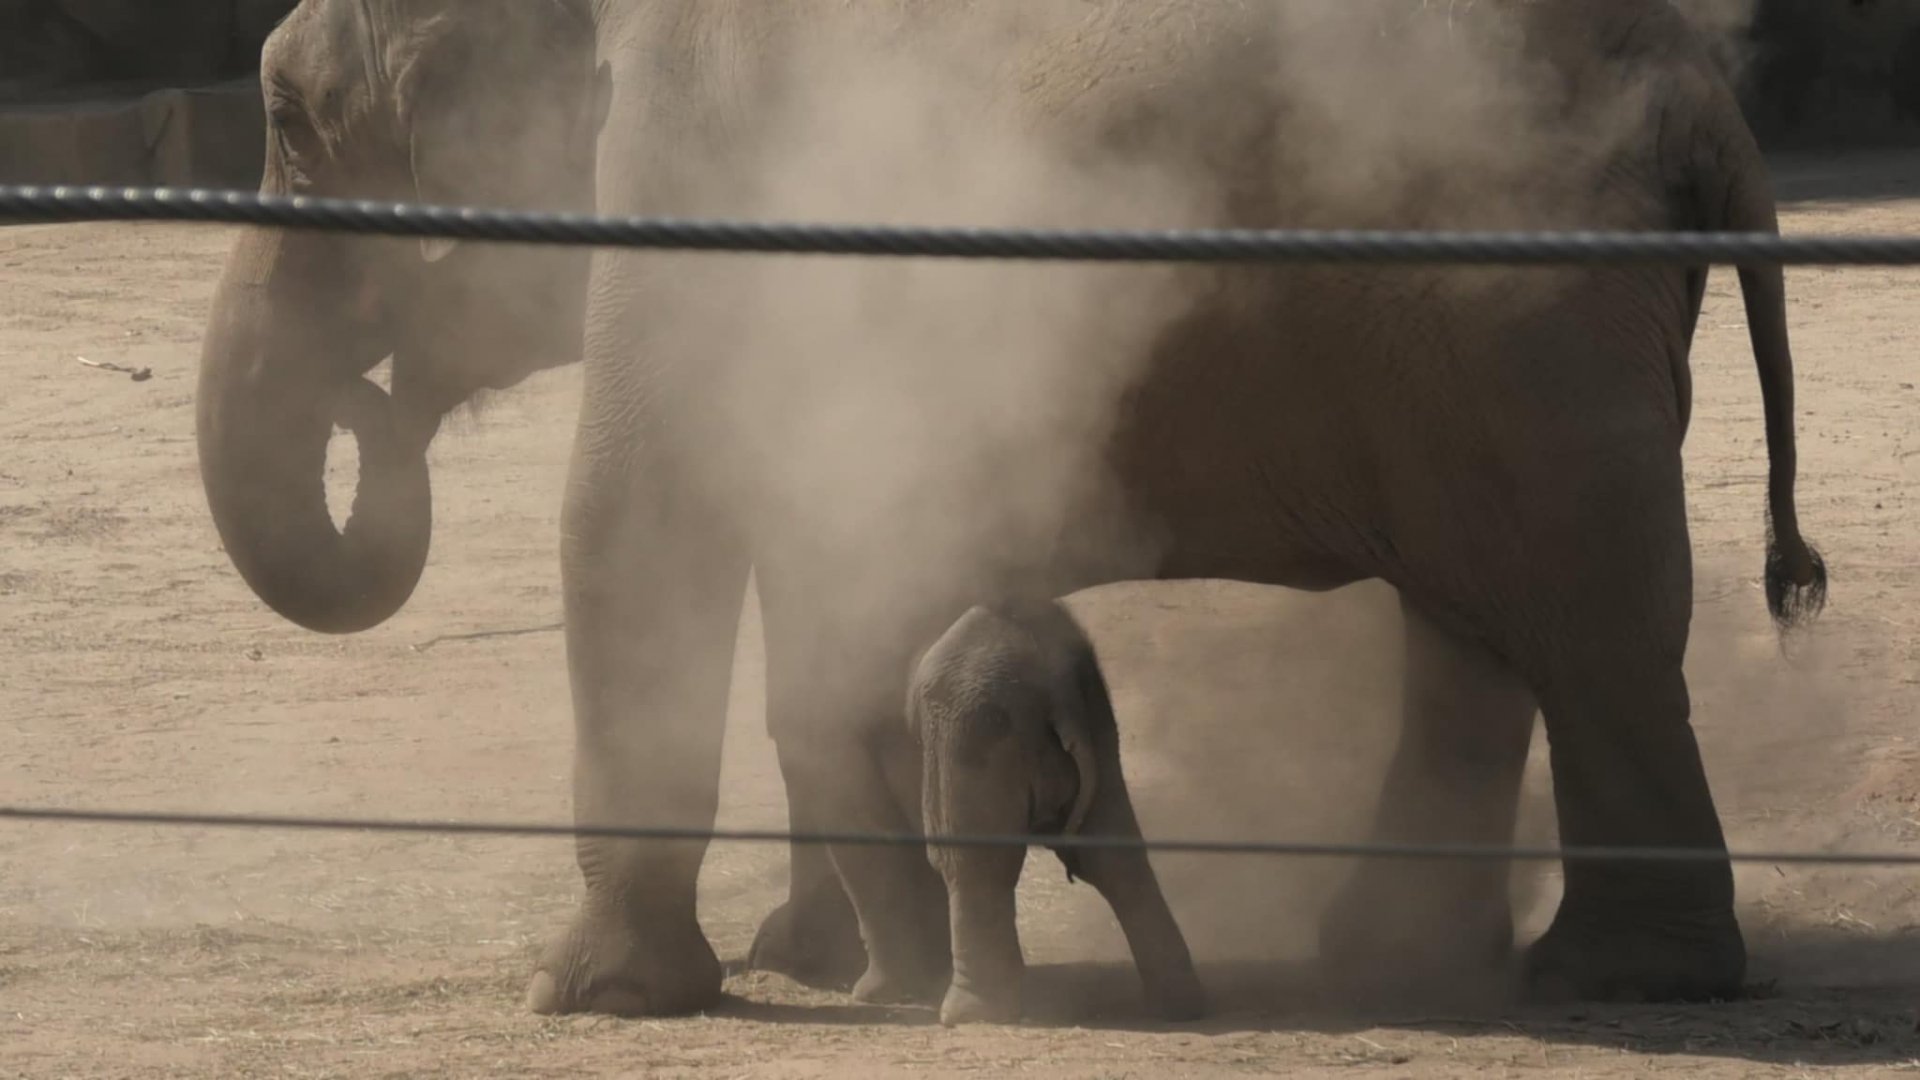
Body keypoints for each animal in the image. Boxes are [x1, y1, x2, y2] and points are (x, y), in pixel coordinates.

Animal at [908, 600, 1205, 1026]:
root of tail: (1056, 691)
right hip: (1097, 723)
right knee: (1115, 856)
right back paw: (1181, 1008)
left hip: (976, 733)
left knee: (970, 859)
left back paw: (969, 1014)